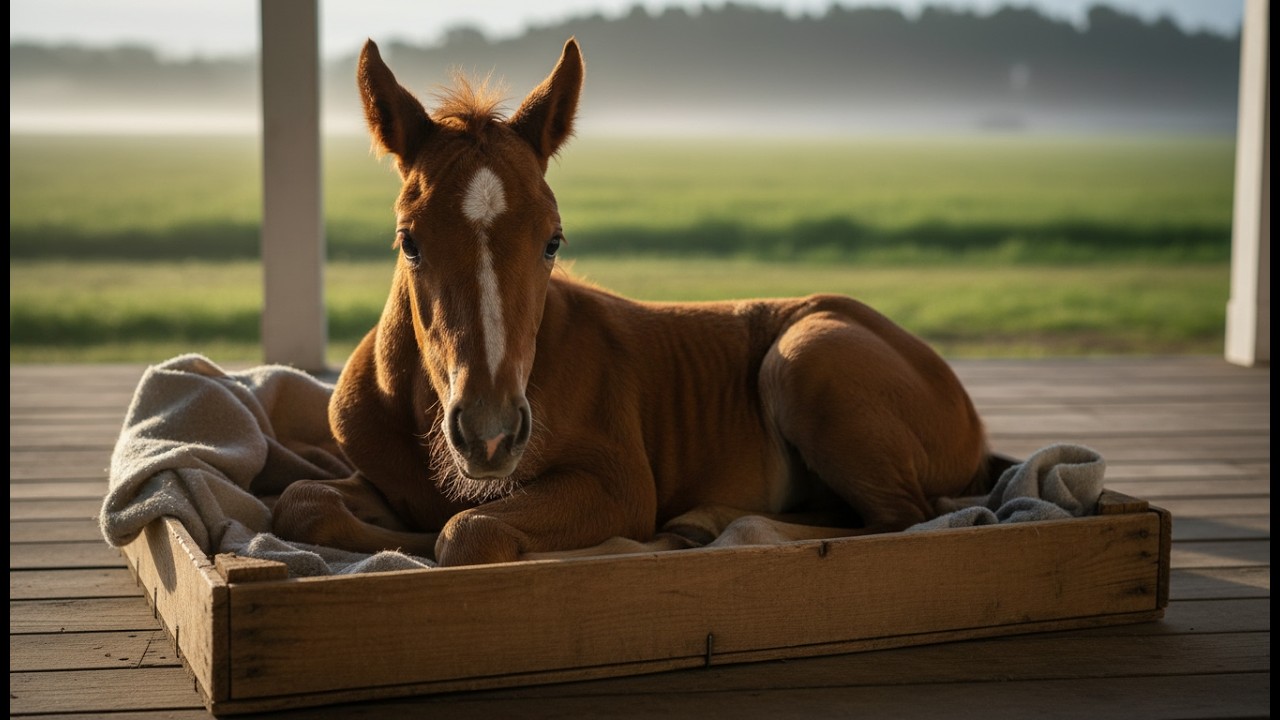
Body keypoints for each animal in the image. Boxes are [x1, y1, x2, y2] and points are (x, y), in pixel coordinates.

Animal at [271, 38, 993, 567]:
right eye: (409, 240)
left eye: (553, 240)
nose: (490, 434)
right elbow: (301, 502)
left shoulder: (616, 486)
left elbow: (468, 532)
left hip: (810, 356)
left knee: (903, 518)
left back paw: (702, 525)